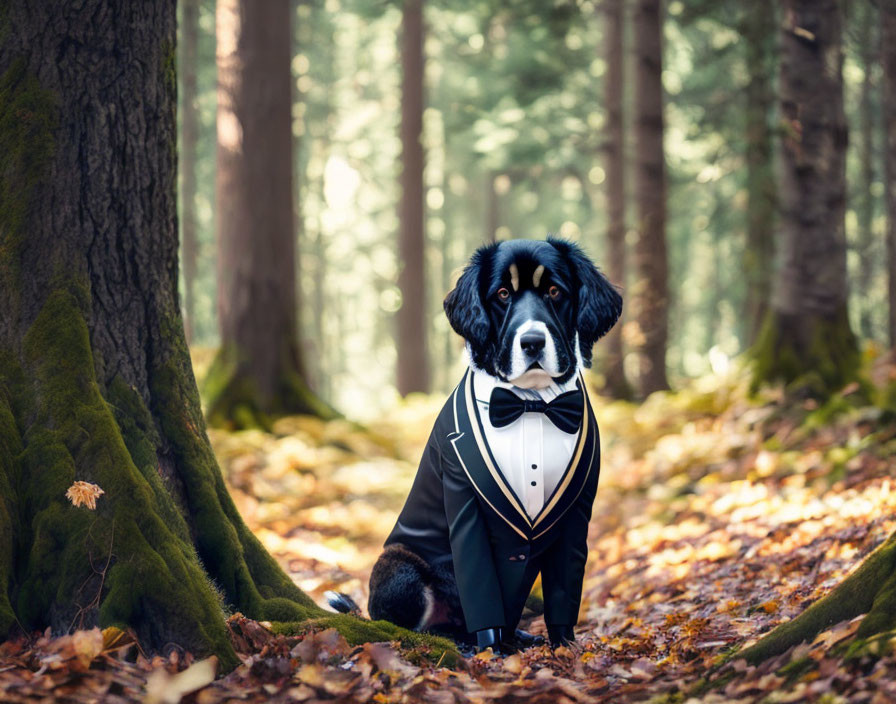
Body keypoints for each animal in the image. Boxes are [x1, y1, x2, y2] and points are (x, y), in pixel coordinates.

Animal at [328, 238, 624, 656]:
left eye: (554, 291)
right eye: (502, 294)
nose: (532, 342)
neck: (531, 404)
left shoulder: (577, 509)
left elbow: (565, 590)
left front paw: (565, 645)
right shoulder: (465, 505)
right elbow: (482, 593)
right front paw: (492, 647)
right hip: (401, 565)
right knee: (418, 626)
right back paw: (463, 641)